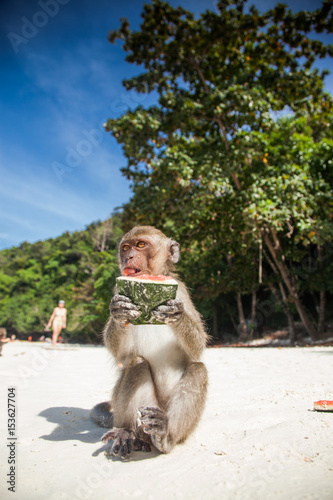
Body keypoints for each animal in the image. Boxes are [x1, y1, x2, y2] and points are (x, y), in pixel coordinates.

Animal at [91, 226, 208, 458]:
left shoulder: (181, 291)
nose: (128, 257)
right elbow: (120, 354)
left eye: (141, 245)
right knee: (136, 364)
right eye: (125, 248)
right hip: (140, 411)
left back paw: (165, 436)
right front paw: (119, 311)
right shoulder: (117, 291)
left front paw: (176, 314)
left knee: (199, 370)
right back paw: (127, 432)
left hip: (172, 418)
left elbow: (197, 348)